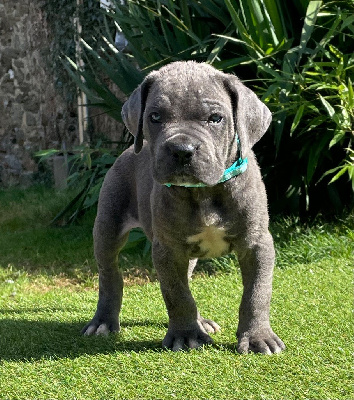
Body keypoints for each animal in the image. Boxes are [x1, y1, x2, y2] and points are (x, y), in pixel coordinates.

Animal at [83, 61, 284, 354]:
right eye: (155, 116)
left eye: (215, 118)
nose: (181, 149)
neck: (203, 191)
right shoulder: (168, 249)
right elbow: (177, 294)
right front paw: (187, 336)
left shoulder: (256, 244)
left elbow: (257, 293)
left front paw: (259, 337)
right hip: (108, 226)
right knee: (109, 275)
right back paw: (103, 322)